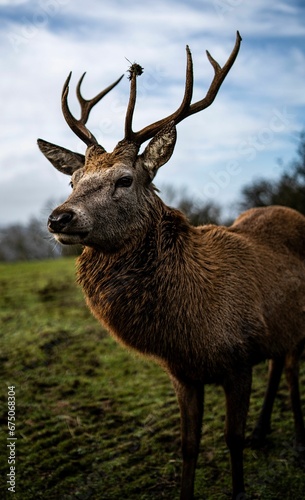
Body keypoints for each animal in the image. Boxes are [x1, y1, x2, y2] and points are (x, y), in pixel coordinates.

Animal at [36, 32, 304, 500]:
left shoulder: (238, 362)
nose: (59, 218)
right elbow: (188, 445)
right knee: (278, 366)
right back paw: (263, 432)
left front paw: (238, 488)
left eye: (125, 179)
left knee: (290, 371)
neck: (191, 330)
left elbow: (230, 439)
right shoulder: (182, 374)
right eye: (73, 180)